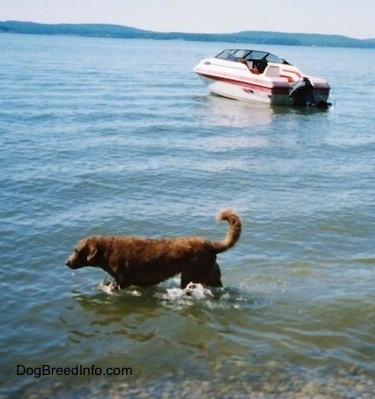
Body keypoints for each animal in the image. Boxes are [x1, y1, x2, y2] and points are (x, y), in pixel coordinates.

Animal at [66, 209, 242, 290]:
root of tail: (211, 245)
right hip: (212, 274)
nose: (66, 262)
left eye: (76, 251)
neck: (107, 252)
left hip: (189, 275)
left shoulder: (124, 280)